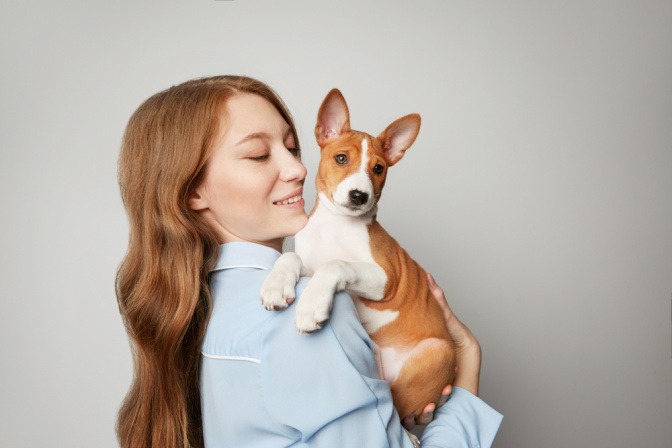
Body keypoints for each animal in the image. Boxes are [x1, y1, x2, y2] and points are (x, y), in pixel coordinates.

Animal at [262, 88, 456, 424]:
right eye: (341, 158)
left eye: (378, 168)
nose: (359, 196)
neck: (334, 225)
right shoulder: (308, 263)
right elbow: (290, 259)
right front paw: (276, 284)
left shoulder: (385, 278)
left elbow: (336, 264)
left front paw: (311, 306)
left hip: (435, 352)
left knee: (397, 409)